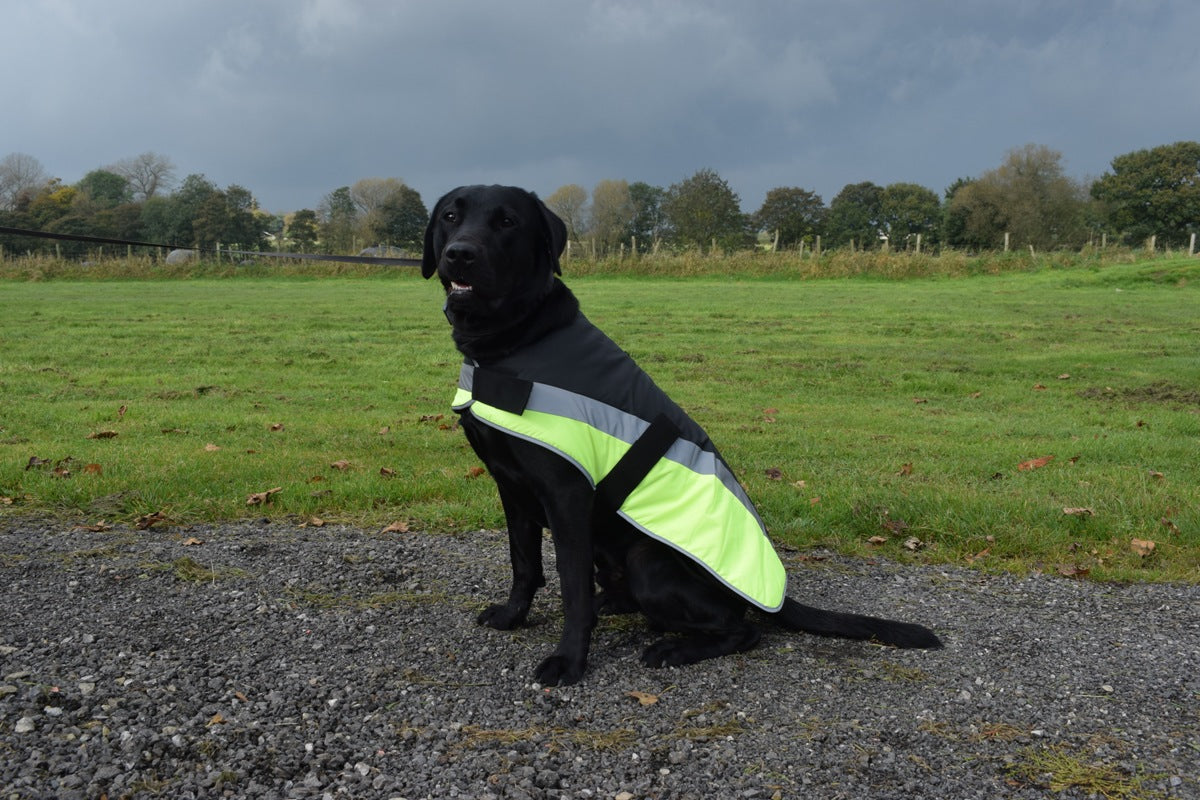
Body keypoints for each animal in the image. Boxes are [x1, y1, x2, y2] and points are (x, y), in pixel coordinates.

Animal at [422, 184, 936, 686]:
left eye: (508, 221)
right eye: (450, 216)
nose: (460, 253)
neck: (512, 340)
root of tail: (772, 594)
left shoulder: (566, 496)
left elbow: (571, 591)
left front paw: (569, 661)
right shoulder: (511, 487)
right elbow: (524, 564)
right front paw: (513, 617)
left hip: (649, 564)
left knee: (743, 629)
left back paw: (674, 648)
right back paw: (619, 607)